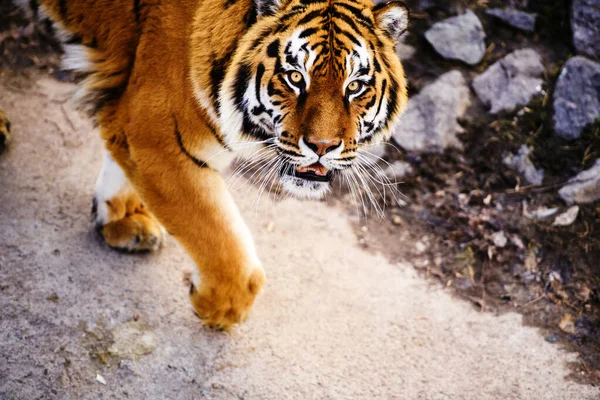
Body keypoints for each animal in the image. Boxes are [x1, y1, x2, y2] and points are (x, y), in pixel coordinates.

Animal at [25, 0, 410, 328]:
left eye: (355, 86)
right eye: (295, 77)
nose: (322, 146)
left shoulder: (134, 123)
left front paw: (120, 220)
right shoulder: (159, 137)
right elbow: (216, 233)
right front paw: (220, 307)